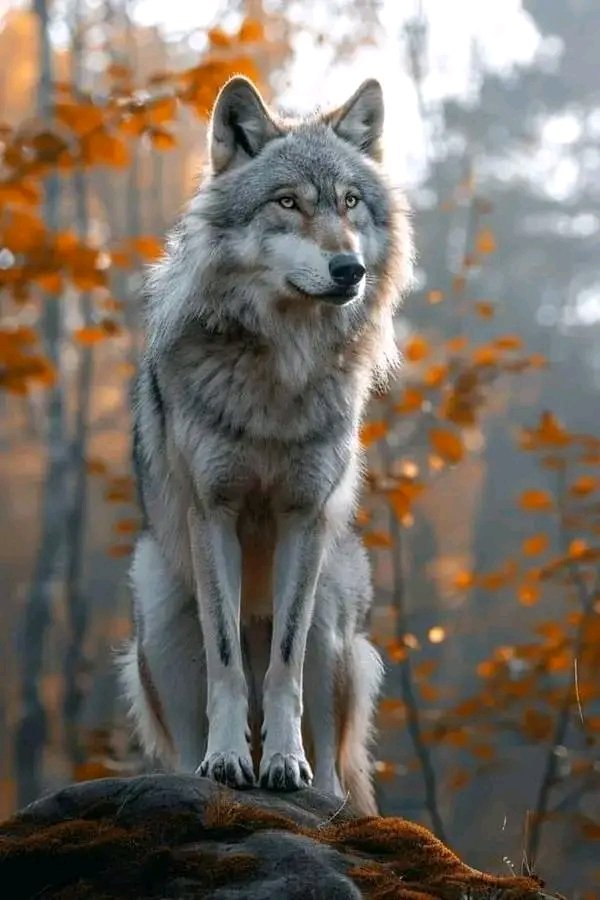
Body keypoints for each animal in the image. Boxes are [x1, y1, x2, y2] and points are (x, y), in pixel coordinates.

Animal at [120, 75, 412, 815]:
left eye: (349, 203)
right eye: (288, 202)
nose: (349, 269)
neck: (282, 366)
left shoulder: (302, 520)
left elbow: (282, 664)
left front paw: (281, 763)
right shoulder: (214, 512)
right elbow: (228, 661)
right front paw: (229, 761)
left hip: (336, 619)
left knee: (335, 760)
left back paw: (324, 795)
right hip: (159, 610)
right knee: (181, 740)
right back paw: (194, 771)